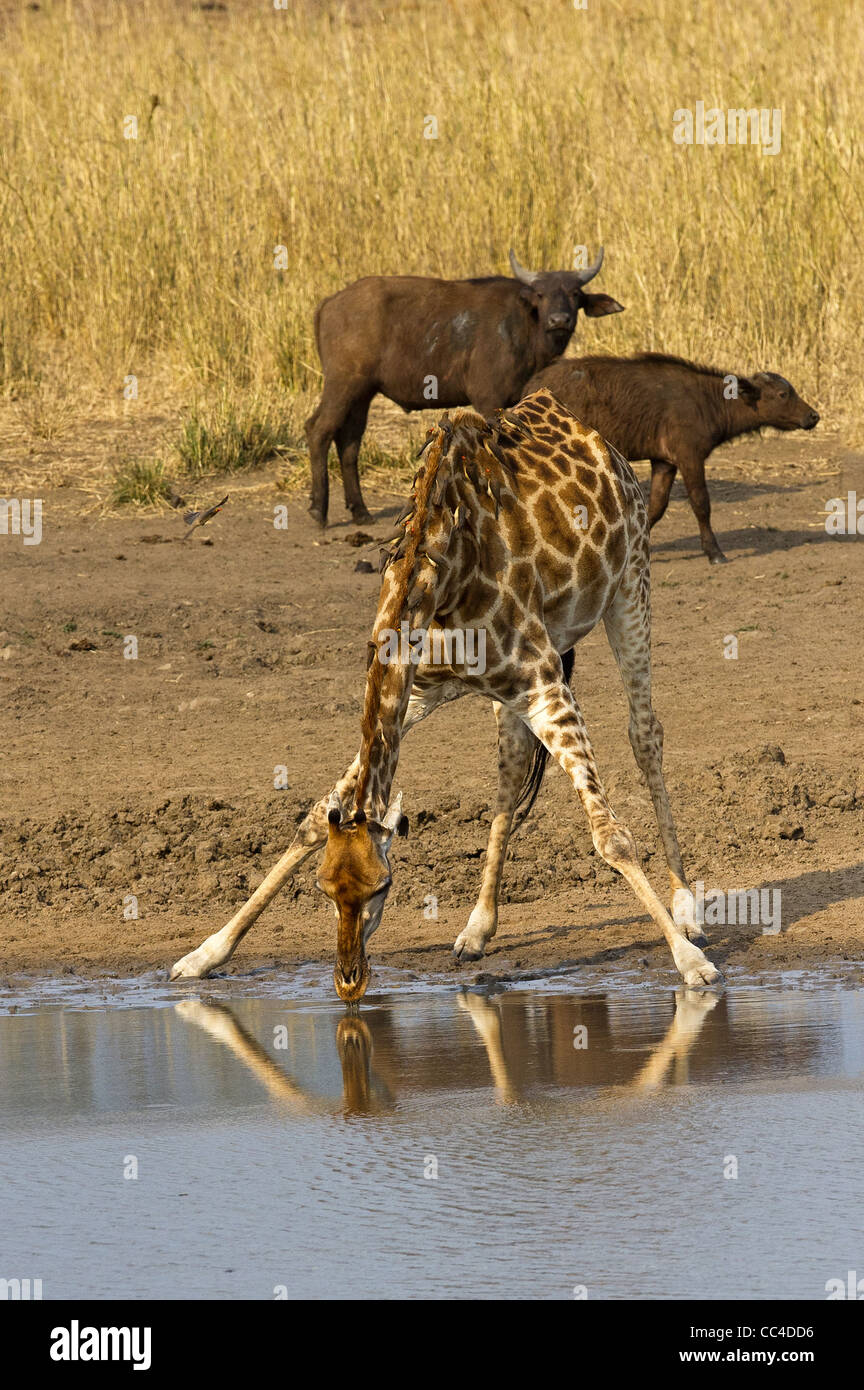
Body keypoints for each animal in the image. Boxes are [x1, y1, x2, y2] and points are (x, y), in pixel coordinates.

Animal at [170, 388, 721, 1001]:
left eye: (382, 887)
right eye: (324, 889)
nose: (348, 982)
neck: (439, 572)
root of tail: (596, 436)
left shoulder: (544, 682)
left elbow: (612, 837)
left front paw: (691, 964)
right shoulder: (418, 695)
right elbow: (314, 816)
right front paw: (204, 954)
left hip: (631, 585)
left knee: (645, 733)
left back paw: (687, 911)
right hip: (516, 686)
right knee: (511, 770)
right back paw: (477, 928)